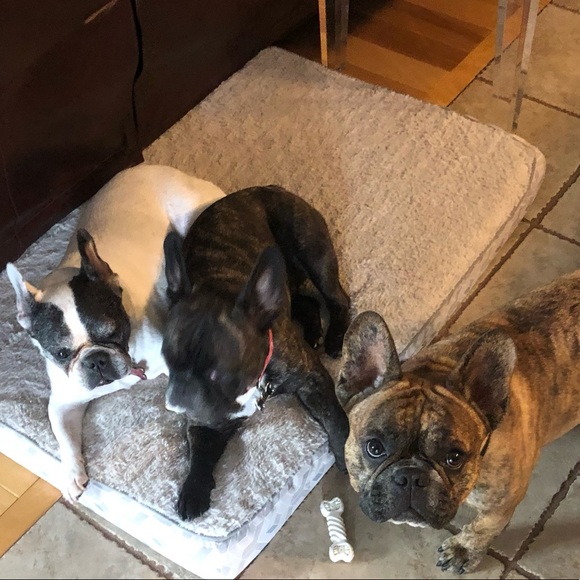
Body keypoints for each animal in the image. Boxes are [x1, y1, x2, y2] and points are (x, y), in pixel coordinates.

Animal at [6, 164, 225, 502]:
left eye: (113, 331)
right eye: (60, 353)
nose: (96, 360)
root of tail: (150, 167)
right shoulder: (63, 401)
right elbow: (63, 436)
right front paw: (71, 474)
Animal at [162, 184, 351, 521]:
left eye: (219, 373)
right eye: (167, 361)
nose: (178, 398)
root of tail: (269, 188)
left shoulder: (312, 379)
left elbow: (335, 417)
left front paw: (343, 450)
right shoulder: (204, 421)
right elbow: (200, 449)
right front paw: (194, 488)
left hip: (313, 254)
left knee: (337, 299)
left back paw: (332, 337)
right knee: (304, 302)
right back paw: (312, 332)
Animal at [336, 271, 580, 574]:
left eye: (454, 458)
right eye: (374, 448)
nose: (411, 477)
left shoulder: (501, 503)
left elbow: (483, 528)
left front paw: (463, 549)